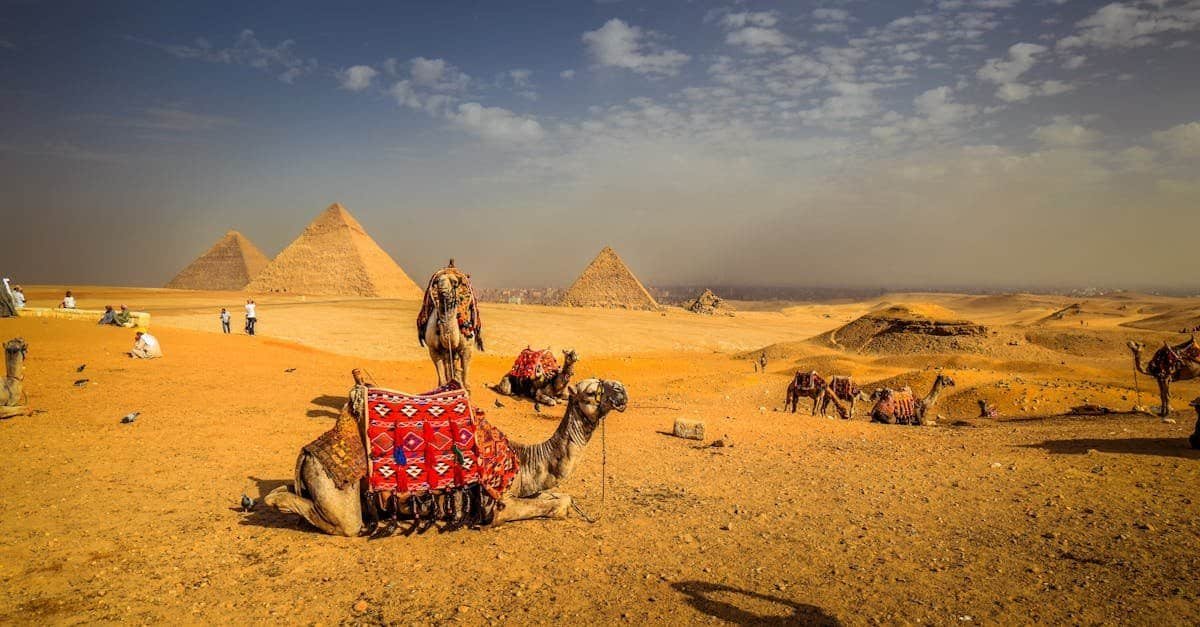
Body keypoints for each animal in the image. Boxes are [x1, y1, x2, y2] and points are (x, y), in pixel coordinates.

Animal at [265, 372, 628, 533]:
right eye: (592, 392)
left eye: (607, 381)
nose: (622, 391)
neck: (525, 462)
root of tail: (307, 453)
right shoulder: (496, 505)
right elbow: (555, 506)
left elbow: (559, 496)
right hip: (337, 488)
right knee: (343, 522)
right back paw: (276, 499)